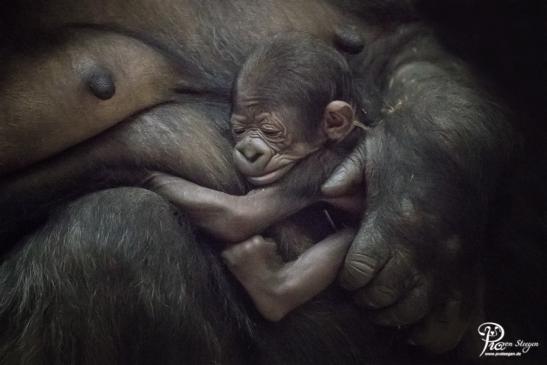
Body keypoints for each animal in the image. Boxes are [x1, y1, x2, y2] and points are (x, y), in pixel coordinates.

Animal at [149, 33, 368, 318]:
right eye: (239, 130)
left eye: (270, 131)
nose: (249, 151)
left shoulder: (320, 167)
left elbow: (241, 214)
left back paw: (270, 288)